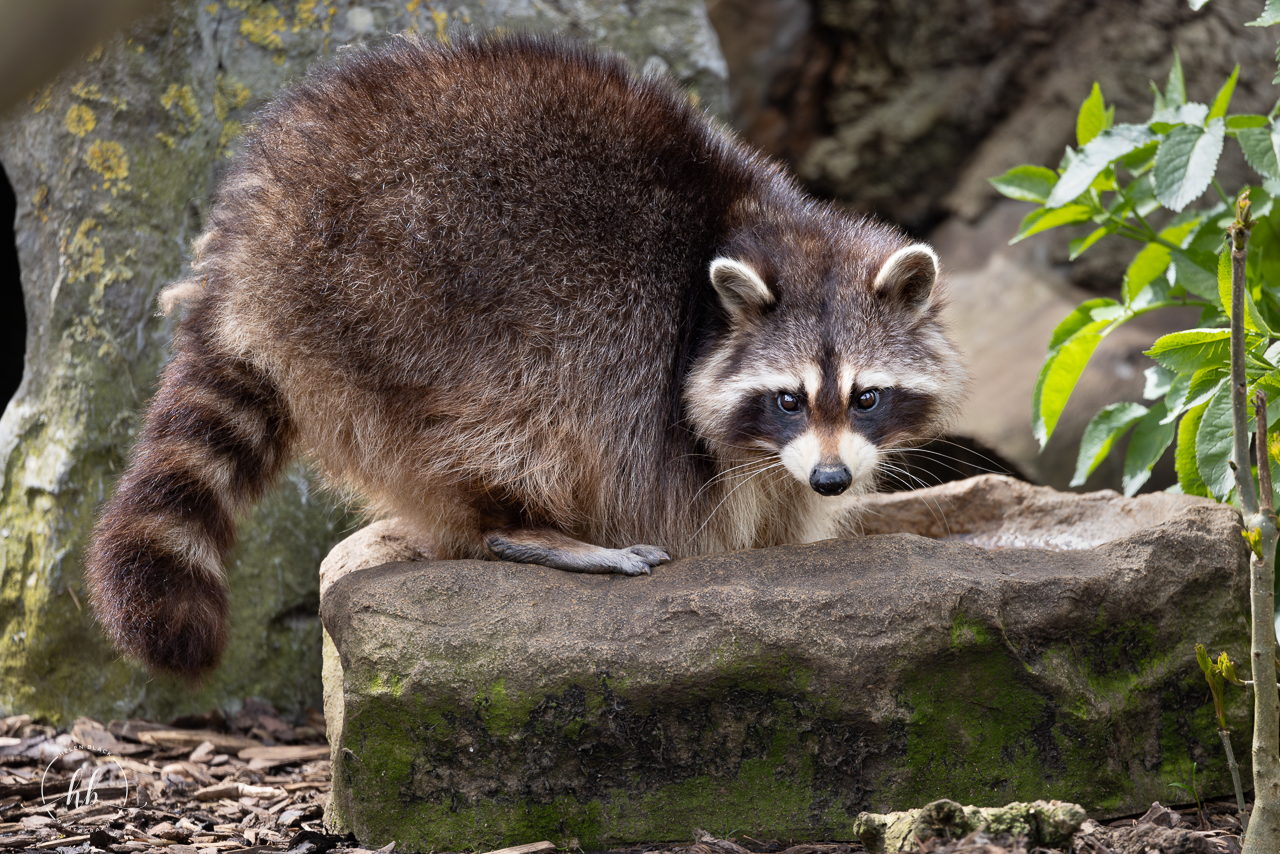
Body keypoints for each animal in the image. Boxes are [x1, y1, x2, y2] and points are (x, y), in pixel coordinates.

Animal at [84, 33, 965, 682]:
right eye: (789, 399)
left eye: (866, 396)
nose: (832, 478)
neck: (755, 233)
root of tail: (248, 233)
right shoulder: (658, 388)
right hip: (390, 305)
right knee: (515, 417)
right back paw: (523, 525)